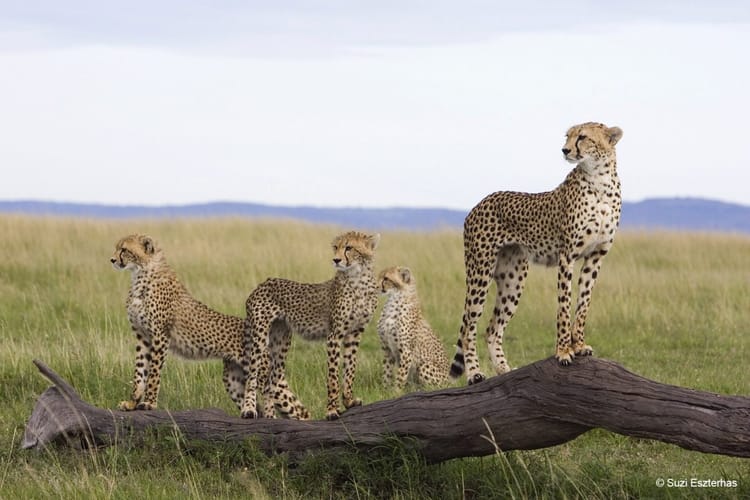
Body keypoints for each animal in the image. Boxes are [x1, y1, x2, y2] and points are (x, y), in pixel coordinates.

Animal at [111, 233, 275, 413]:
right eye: (117, 248)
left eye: (124, 250)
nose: (112, 260)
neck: (141, 273)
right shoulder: (143, 337)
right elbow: (139, 372)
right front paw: (132, 403)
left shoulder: (160, 336)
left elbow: (153, 373)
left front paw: (149, 403)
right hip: (233, 380)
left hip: (260, 376)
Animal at [241, 231, 380, 421]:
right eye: (335, 247)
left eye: (349, 248)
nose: (336, 260)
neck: (358, 278)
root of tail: (261, 284)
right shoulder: (334, 335)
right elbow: (333, 376)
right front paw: (332, 411)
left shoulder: (355, 333)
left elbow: (350, 369)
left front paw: (349, 401)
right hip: (260, 336)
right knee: (253, 375)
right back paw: (248, 409)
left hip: (281, 340)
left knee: (273, 379)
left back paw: (271, 417)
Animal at [450, 122, 624, 385]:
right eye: (568, 136)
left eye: (582, 137)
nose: (564, 150)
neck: (599, 179)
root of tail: (481, 202)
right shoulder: (567, 256)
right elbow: (564, 306)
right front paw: (563, 351)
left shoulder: (596, 257)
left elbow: (583, 304)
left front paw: (579, 345)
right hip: (480, 272)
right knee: (469, 325)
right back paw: (474, 373)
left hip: (513, 279)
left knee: (492, 329)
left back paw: (505, 370)